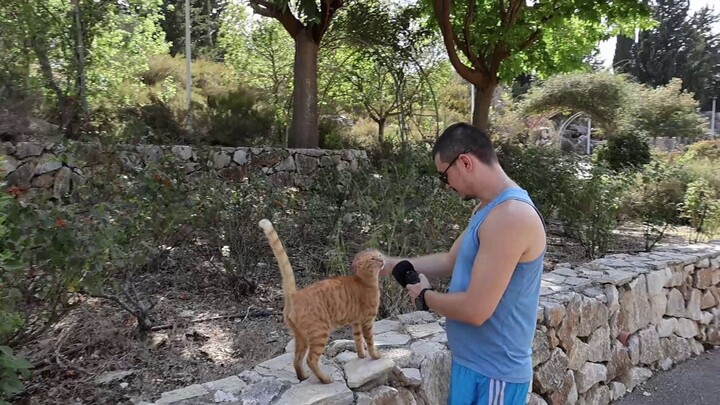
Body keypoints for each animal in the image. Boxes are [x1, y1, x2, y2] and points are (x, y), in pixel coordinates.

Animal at [258, 218, 386, 382]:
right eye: (373, 258)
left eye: (379, 255)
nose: (382, 260)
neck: (364, 281)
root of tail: (295, 294)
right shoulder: (367, 321)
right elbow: (369, 341)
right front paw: (375, 356)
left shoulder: (356, 322)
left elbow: (358, 340)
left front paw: (361, 355)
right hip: (320, 332)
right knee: (311, 359)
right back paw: (325, 379)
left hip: (301, 337)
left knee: (297, 360)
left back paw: (303, 377)